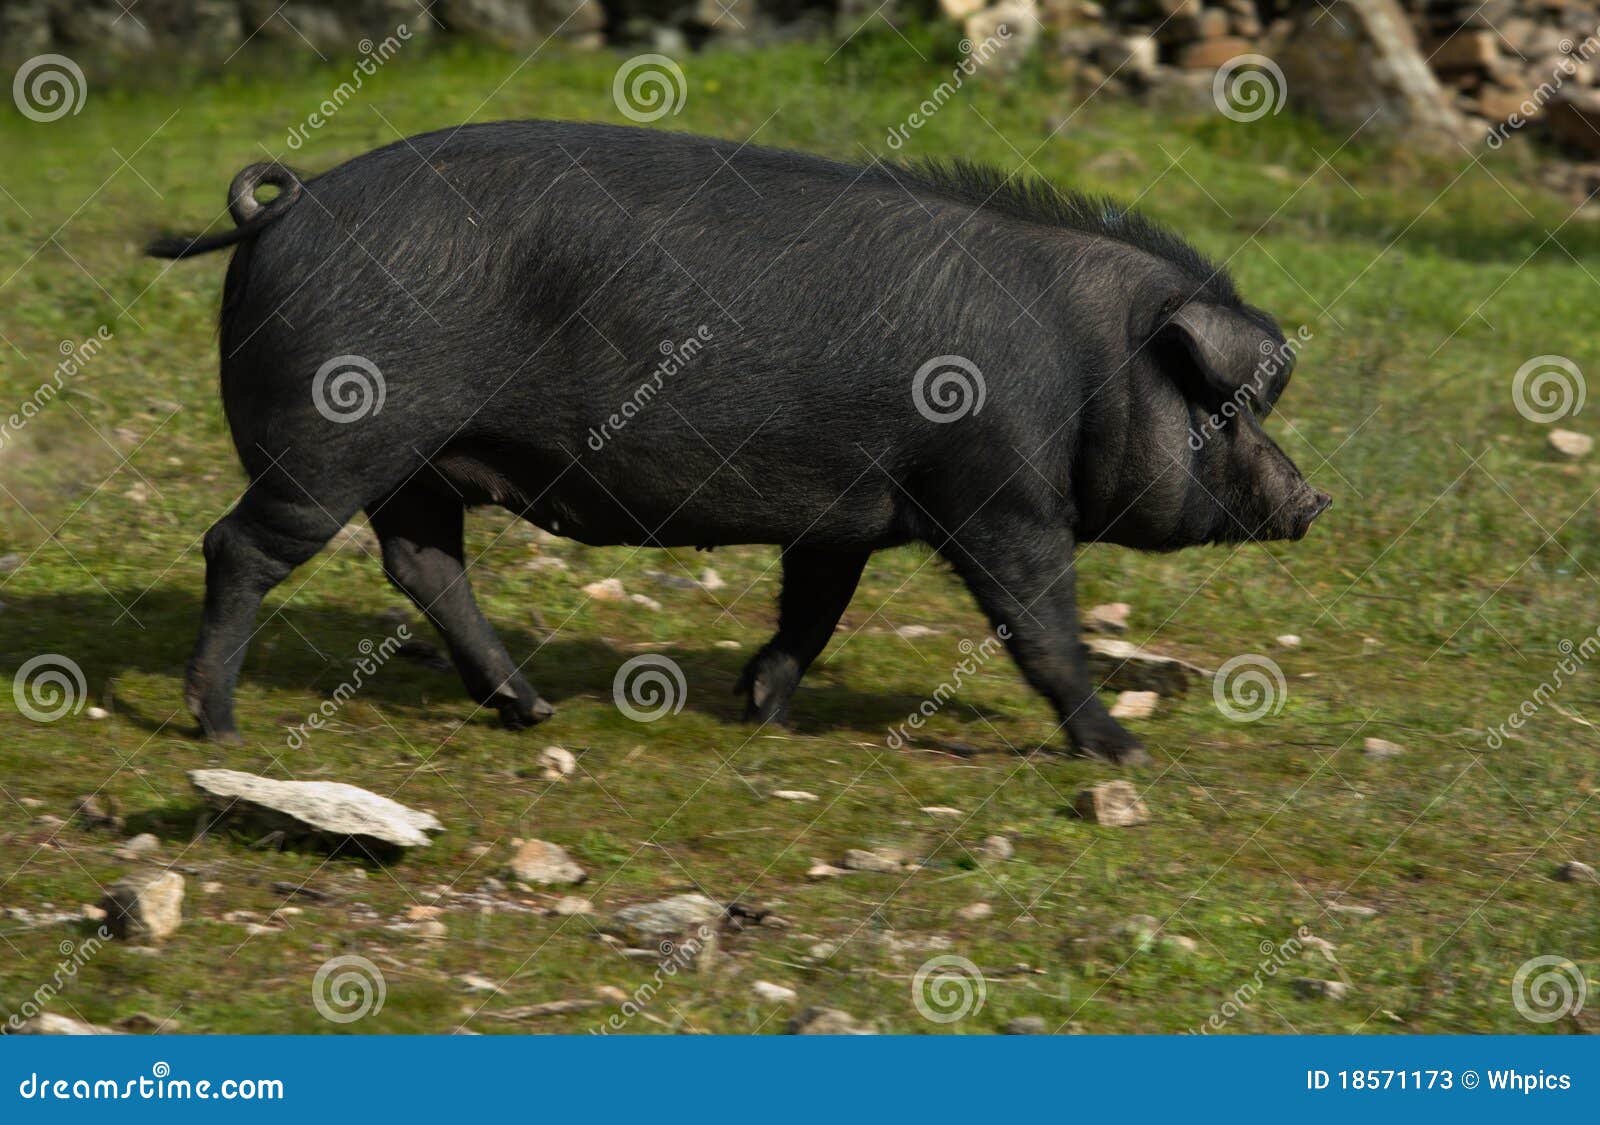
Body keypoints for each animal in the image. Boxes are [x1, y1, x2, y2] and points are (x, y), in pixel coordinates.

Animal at [148, 121, 1330, 764]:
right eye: (1228, 408)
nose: (1313, 499)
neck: (1088, 362)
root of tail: (280, 209)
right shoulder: (1000, 501)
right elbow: (1039, 629)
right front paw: (1127, 752)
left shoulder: (846, 512)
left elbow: (813, 610)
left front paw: (759, 710)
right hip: (331, 443)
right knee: (237, 546)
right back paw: (220, 729)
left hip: (418, 463)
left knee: (423, 561)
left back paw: (530, 709)